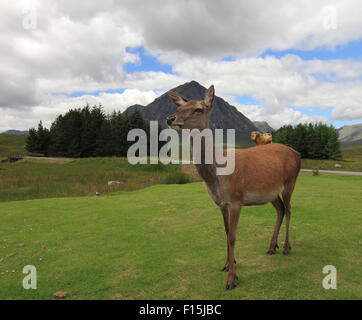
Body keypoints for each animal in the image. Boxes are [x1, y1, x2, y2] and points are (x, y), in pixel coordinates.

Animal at [166, 84, 300, 290]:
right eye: (180, 107)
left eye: (198, 108)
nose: (171, 118)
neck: (216, 177)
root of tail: (298, 154)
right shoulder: (221, 203)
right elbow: (227, 232)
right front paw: (228, 264)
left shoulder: (237, 199)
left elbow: (233, 237)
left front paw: (231, 279)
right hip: (271, 193)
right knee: (281, 209)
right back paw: (271, 247)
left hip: (290, 183)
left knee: (290, 209)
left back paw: (286, 247)